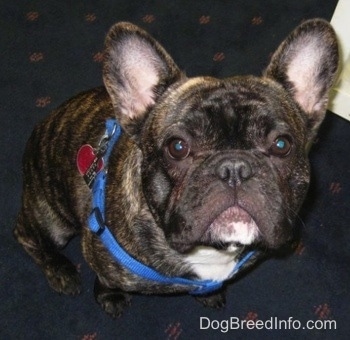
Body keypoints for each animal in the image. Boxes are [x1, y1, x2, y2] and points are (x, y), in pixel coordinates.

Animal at [14, 18, 340, 318]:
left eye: (282, 145)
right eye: (177, 147)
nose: (234, 168)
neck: (212, 251)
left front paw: (210, 295)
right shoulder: (98, 252)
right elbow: (107, 280)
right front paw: (111, 296)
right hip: (53, 221)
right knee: (26, 235)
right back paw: (61, 271)